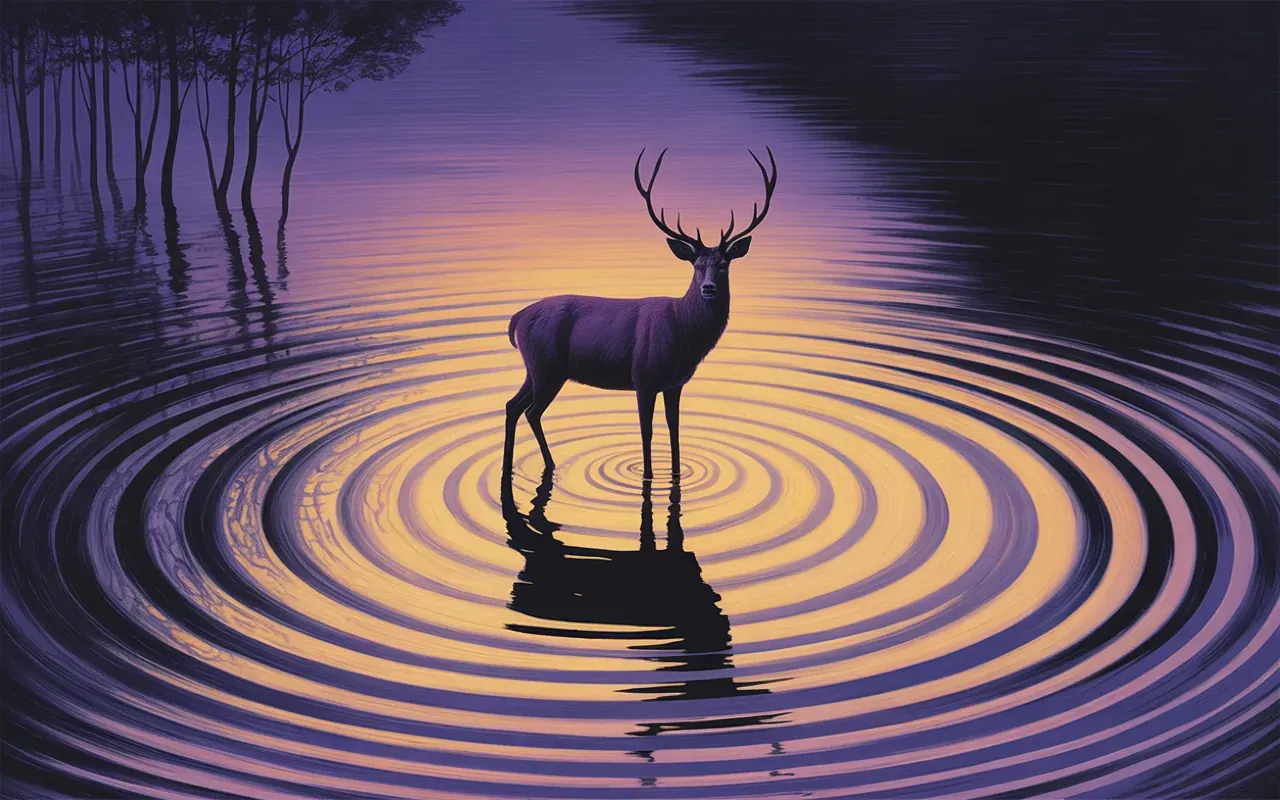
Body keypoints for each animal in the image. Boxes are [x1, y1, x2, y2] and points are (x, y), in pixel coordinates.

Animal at [503, 147, 777, 480]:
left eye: (724, 264)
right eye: (696, 265)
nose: (709, 288)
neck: (683, 332)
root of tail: (516, 319)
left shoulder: (675, 383)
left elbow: (674, 429)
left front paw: (676, 473)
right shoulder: (643, 377)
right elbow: (646, 432)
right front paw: (647, 475)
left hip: (536, 368)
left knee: (512, 406)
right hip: (547, 367)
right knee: (530, 411)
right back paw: (550, 463)